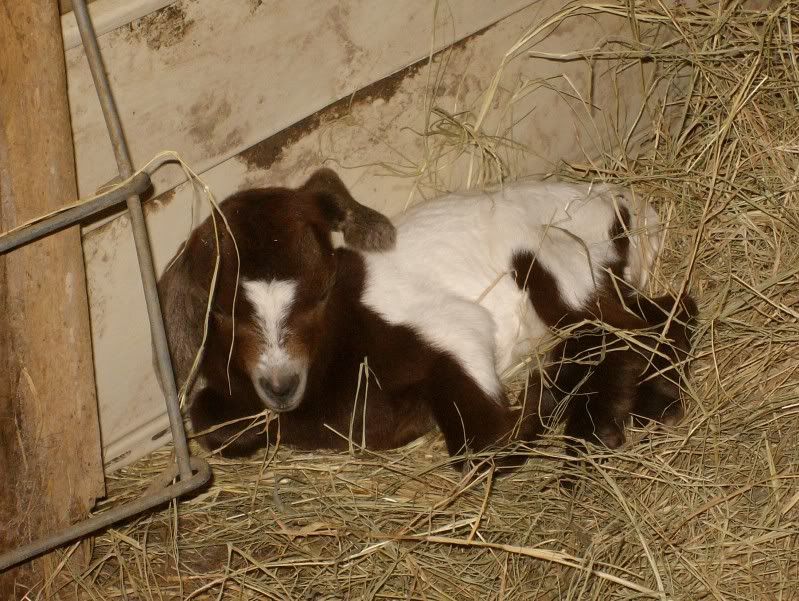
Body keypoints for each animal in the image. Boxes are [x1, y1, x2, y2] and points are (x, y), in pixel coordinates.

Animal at [156, 169, 696, 469]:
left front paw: (545, 394)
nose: (280, 384)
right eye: (221, 310)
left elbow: (481, 443)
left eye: (321, 289)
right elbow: (206, 418)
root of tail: (629, 206)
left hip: (562, 266)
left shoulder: (454, 327)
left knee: (653, 323)